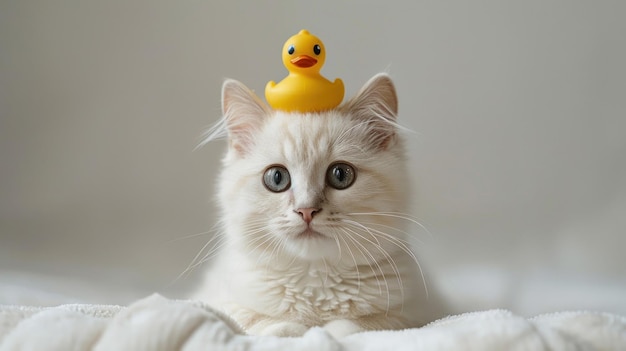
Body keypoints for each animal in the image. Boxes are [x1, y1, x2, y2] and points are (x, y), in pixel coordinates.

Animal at [193, 73, 442, 338]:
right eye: (276, 178)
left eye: (340, 175)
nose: (306, 210)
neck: (315, 281)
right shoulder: (219, 301)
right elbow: (256, 321)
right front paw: (293, 330)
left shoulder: (415, 310)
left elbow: (359, 326)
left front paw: (326, 332)